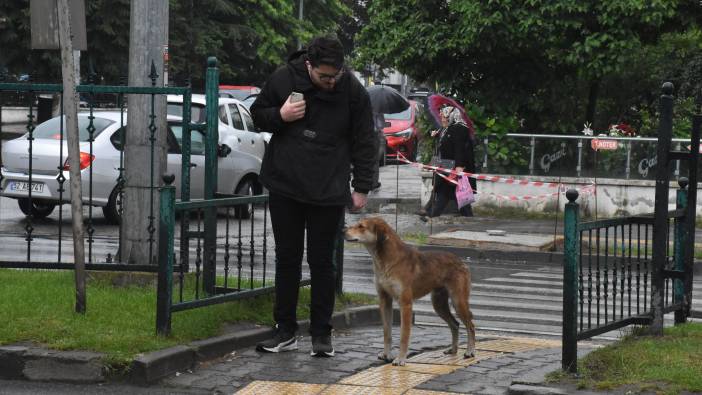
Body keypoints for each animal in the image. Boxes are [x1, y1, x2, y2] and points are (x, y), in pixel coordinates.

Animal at [344, 218, 476, 366]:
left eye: (361, 226)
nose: (343, 231)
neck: (387, 260)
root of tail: (460, 261)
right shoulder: (385, 301)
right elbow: (386, 332)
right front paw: (387, 355)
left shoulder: (405, 303)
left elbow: (404, 335)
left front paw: (400, 359)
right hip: (439, 304)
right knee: (455, 324)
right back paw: (452, 350)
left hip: (458, 301)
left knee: (470, 325)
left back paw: (470, 351)